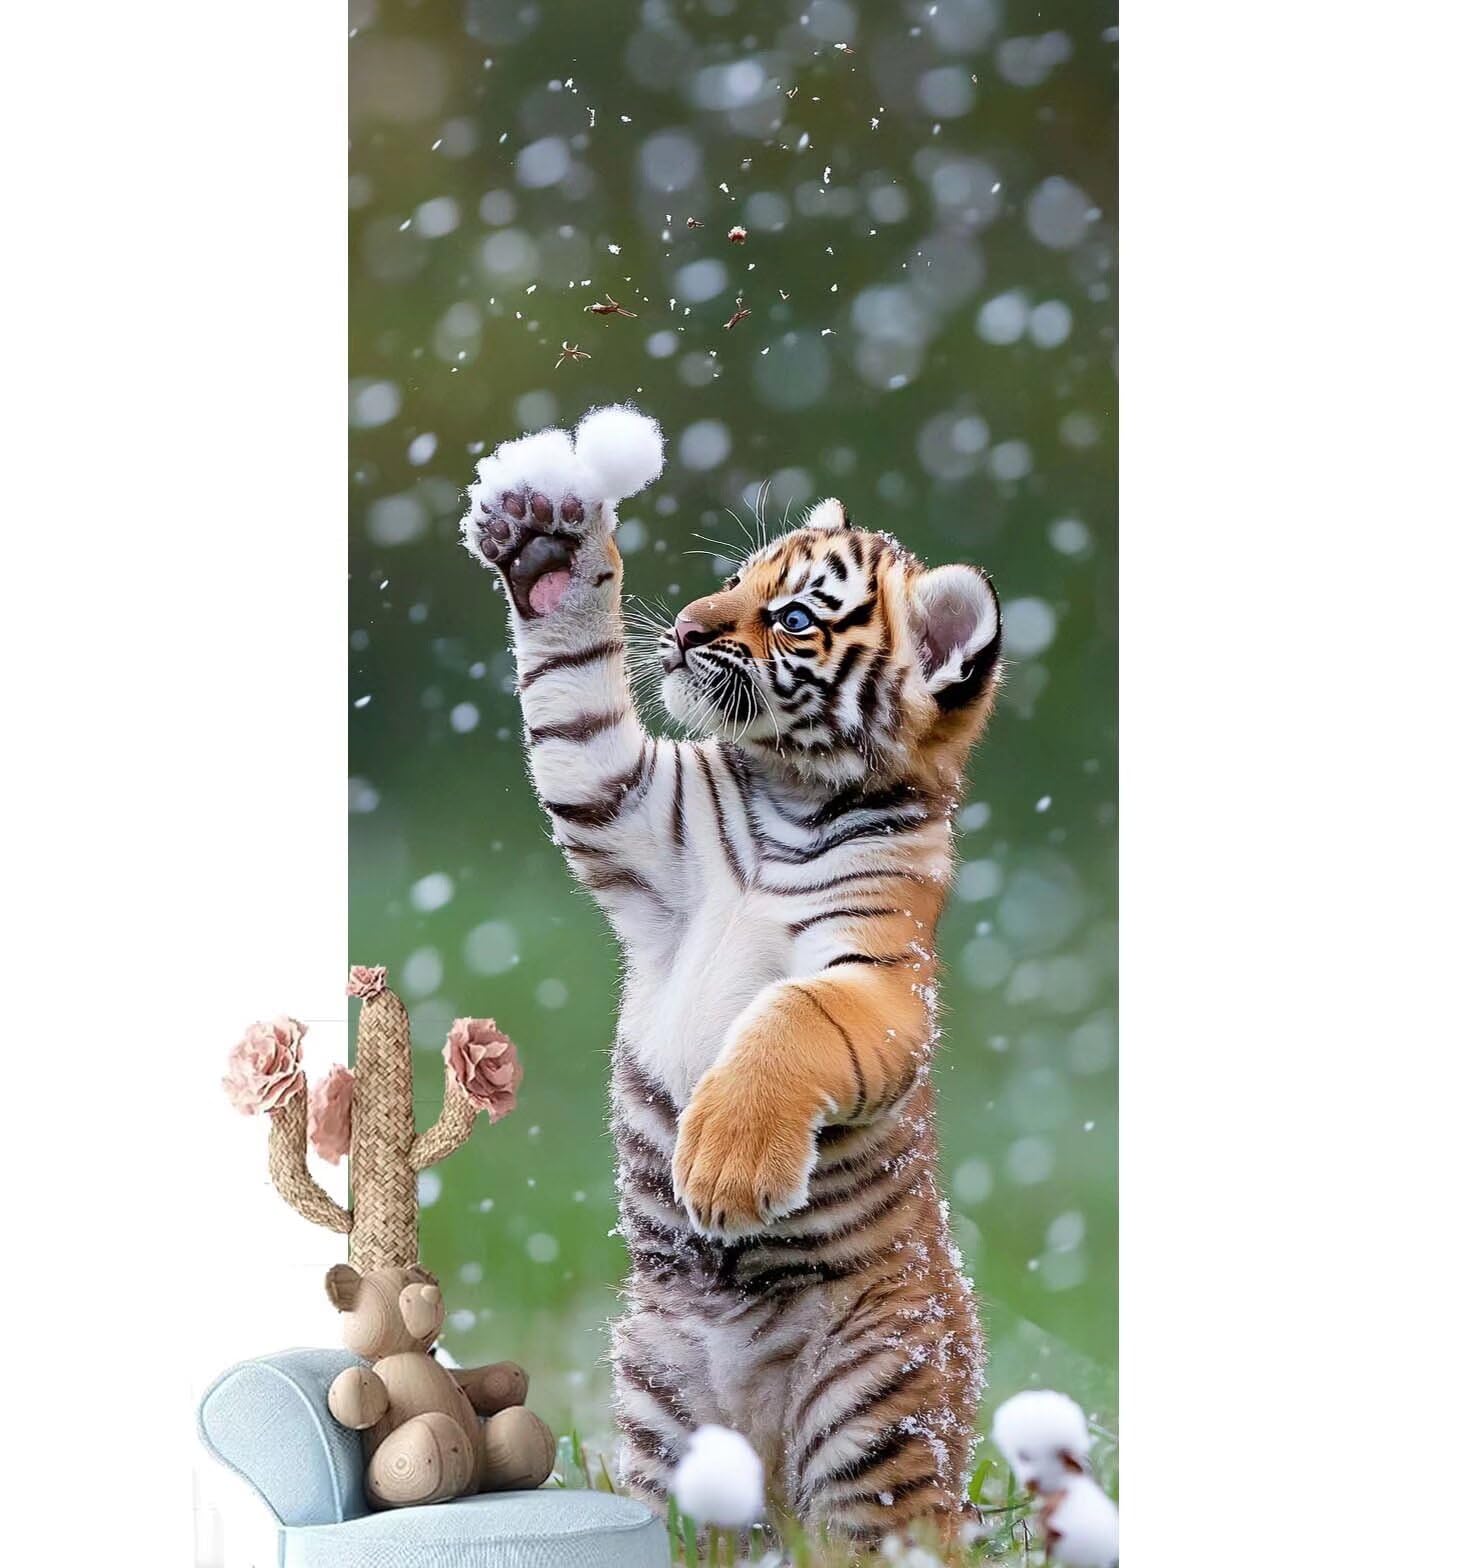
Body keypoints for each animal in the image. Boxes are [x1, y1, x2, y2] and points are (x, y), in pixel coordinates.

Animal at [460, 407, 1003, 1546]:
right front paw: (542, 545)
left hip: (876, 1417)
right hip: (662, 1415)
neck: (790, 794)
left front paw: (723, 1163)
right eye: (737, 578)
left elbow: (793, 1013)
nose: (685, 629)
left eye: (793, 617)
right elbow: (573, 704)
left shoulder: (878, 977)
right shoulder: (626, 806)